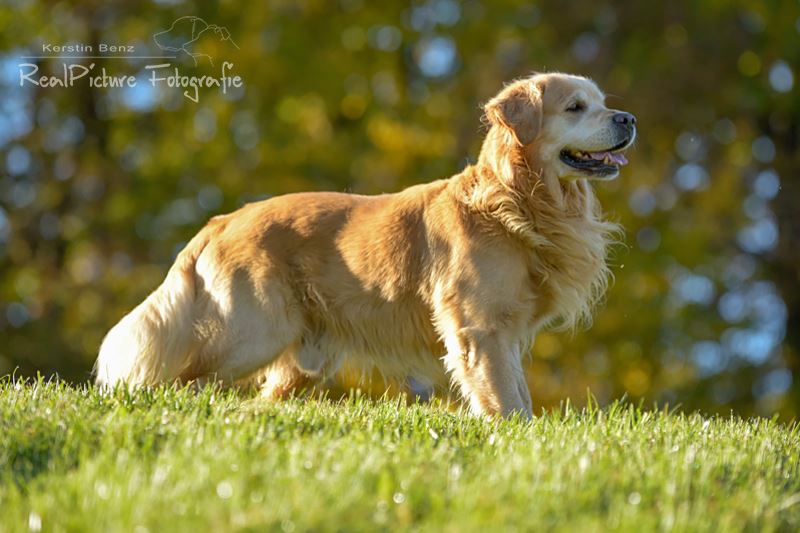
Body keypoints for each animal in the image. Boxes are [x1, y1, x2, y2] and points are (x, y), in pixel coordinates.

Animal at [95, 72, 636, 418]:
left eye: (602, 101)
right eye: (575, 107)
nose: (627, 118)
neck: (515, 200)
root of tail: (224, 219)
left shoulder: (504, 332)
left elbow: (518, 391)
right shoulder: (479, 328)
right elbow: (505, 398)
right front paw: (512, 434)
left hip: (302, 361)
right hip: (250, 331)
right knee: (181, 378)